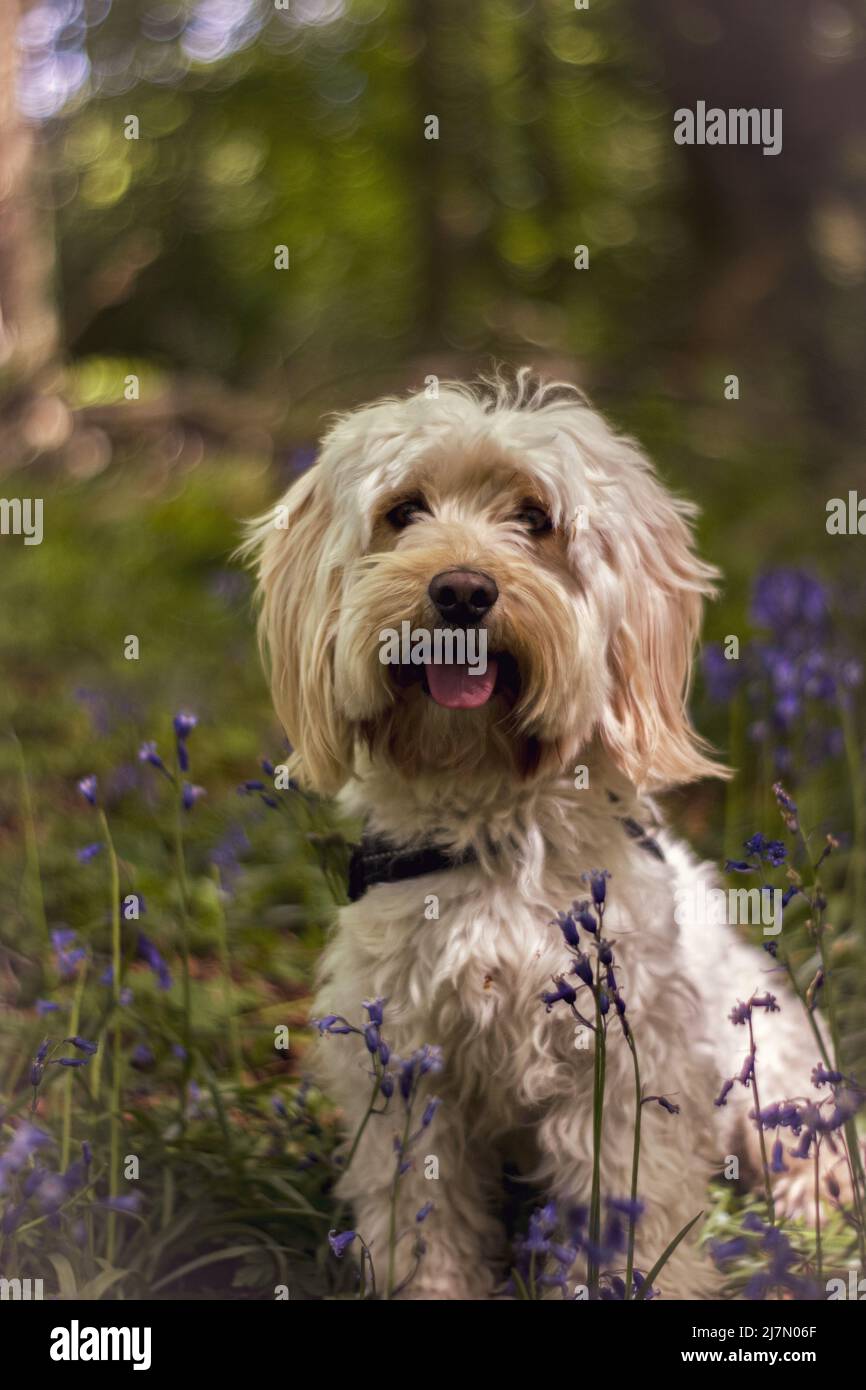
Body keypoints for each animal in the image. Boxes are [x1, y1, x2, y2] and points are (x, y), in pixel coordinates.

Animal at [244, 372, 834, 1301]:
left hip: (772, 1069)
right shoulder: (408, 1068)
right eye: (404, 512)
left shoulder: (626, 1066)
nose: (461, 590)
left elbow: (632, 1203)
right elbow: (422, 1216)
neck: (493, 824)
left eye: (535, 518)